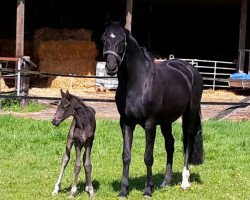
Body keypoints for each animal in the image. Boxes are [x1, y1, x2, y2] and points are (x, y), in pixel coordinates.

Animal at [101, 21, 203, 197]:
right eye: (105, 39)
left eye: (122, 41)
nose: (111, 66)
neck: (138, 83)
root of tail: (190, 70)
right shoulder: (126, 123)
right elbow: (126, 156)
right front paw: (123, 190)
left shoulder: (150, 123)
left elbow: (148, 157)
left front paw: (148, 190)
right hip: (166, 122)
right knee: (170, 144)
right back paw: (165, 182)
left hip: (189, 114)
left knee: (187, 142)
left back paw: (184, 181)